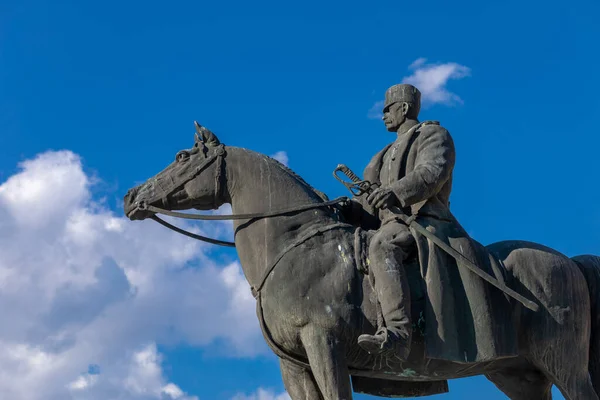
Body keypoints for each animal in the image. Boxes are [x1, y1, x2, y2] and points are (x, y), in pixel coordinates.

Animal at [123, 126, 600, 400]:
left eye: (182, 157)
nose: (131, 196)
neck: (295, 248)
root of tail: (569, 262)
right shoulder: (293, 365)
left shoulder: (324, 345)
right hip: (518, 375)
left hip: (563, 365)